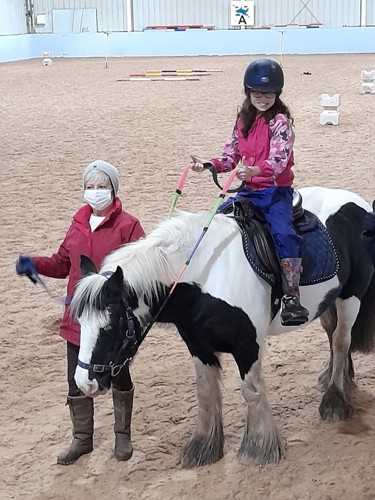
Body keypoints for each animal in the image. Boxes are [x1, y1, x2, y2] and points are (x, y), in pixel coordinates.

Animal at [70, 186, 375, 466]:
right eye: (80, 322)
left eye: (111, 327)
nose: (84, 382)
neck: (205, 277)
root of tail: (359, 204)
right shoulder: (198, 346)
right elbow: (205, 392)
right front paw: (203, 447)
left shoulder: (248, 346)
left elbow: (251, 391)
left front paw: (259, 448)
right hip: (329, 300)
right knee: (332, 335)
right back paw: (336, 379)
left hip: (351, 296)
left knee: (341, 340)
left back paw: (335, 400)